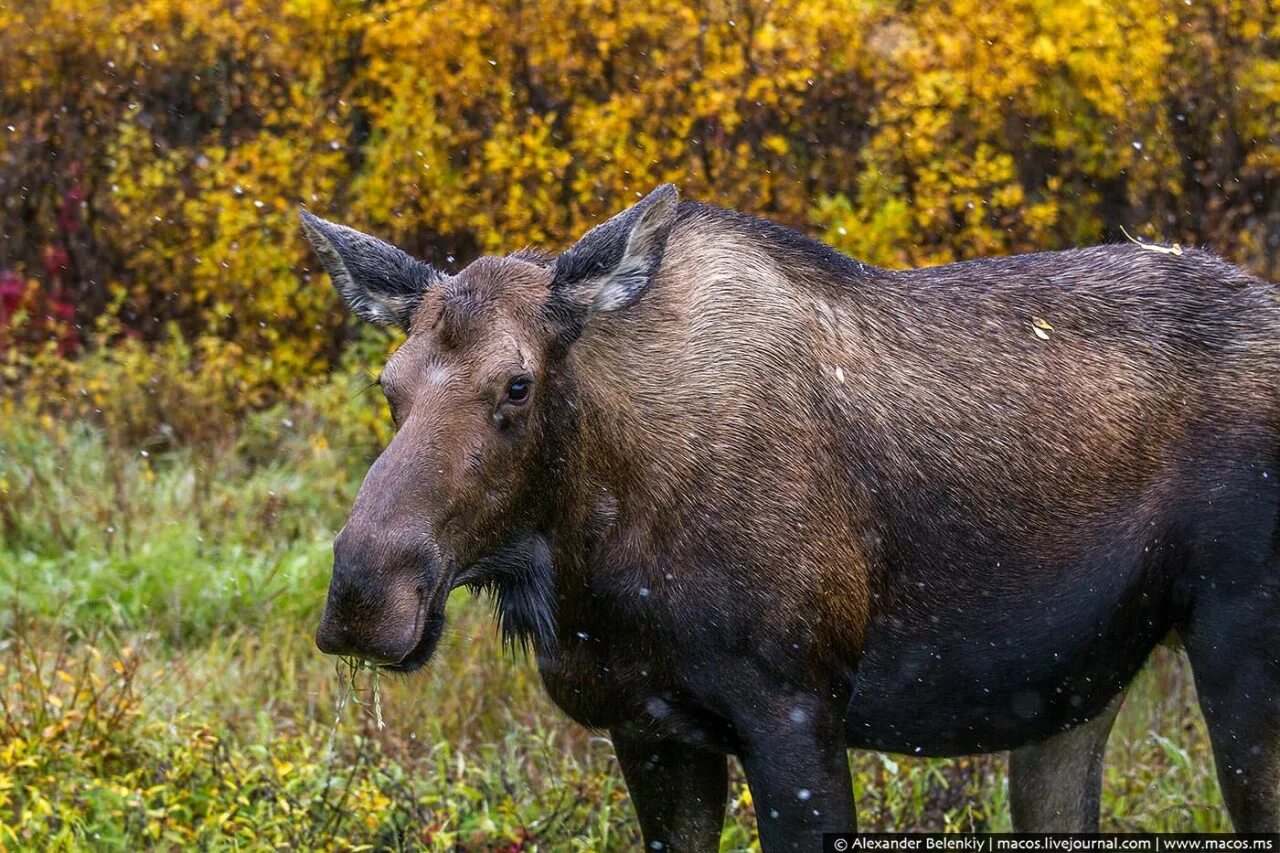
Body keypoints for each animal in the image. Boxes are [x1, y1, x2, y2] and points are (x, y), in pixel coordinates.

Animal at [302, 184, 1280, 845]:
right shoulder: (647, 727)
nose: (364, 594)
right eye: (388, 384)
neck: (592, 560)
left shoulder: (795, 710)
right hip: (1074, 692)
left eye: (517, 383)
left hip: (1238, 647)